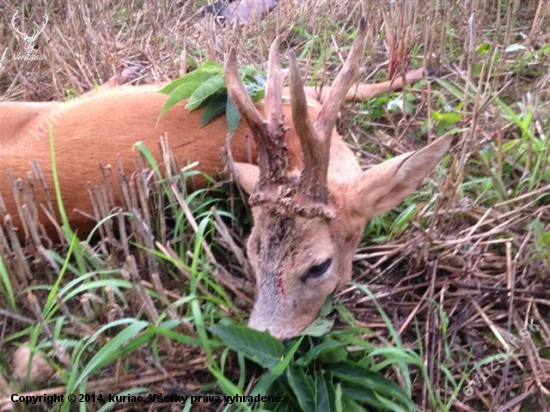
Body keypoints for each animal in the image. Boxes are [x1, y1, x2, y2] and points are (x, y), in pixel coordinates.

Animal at [0, 19, 452, 340]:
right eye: (252, 249)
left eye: (320, 266)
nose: (266, 339)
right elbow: (334, 87)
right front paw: (422, 68)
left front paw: (420, 69)